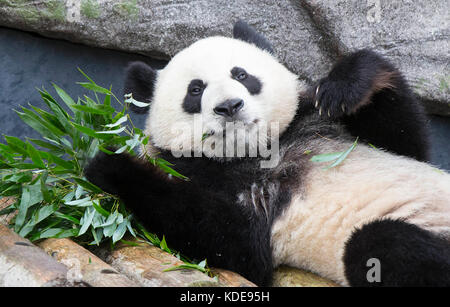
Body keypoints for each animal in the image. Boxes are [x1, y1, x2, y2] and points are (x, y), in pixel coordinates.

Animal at [85, 21, 450, 288]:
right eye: (195, 90)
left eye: (241, 74)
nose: (230, 106)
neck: (263, 152)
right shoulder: (204, 175)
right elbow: (236, 242)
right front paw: (110, 165)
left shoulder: (315, 122)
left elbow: (408, 144)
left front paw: (346, 85)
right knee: (379, 245)